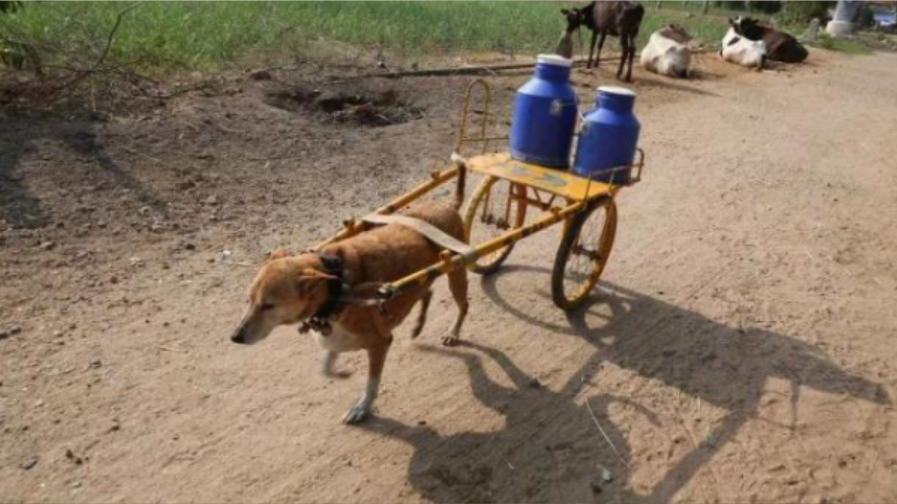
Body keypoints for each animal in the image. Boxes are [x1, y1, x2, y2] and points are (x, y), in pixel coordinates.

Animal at [229, 203, 468, 424]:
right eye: (249, 299)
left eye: (268, 305)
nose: (235, 337)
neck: (336, 283)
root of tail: (446, 204)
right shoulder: (335, 334)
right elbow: (325, 366)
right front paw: (342, 373)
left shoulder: (380, 342)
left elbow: (371, 383)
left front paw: (361, 407)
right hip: (422, 282)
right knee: (426, 292)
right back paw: (418, 325)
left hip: (456, 273)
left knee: (463, 305)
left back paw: (453, 332)